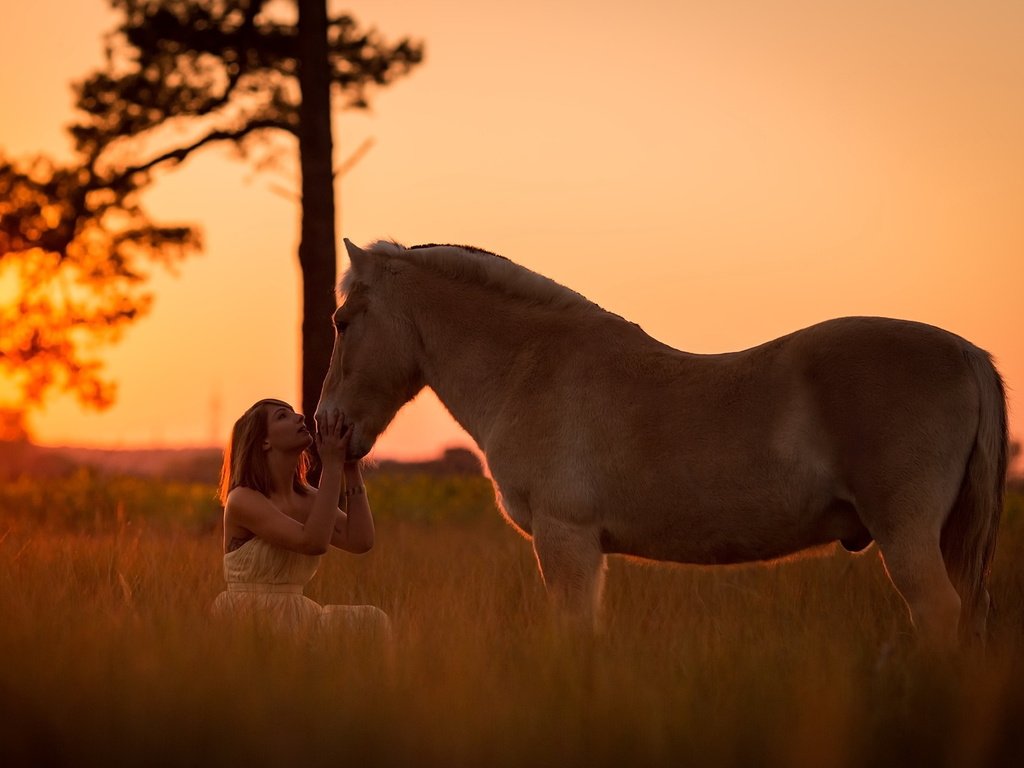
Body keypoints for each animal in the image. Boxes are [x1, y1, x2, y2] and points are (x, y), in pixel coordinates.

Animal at [313, 237, 1007, 647]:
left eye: (343, 322)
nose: (328, 425)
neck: (533, 368)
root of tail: (965, 352)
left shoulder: (566, 540)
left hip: (906, 535)